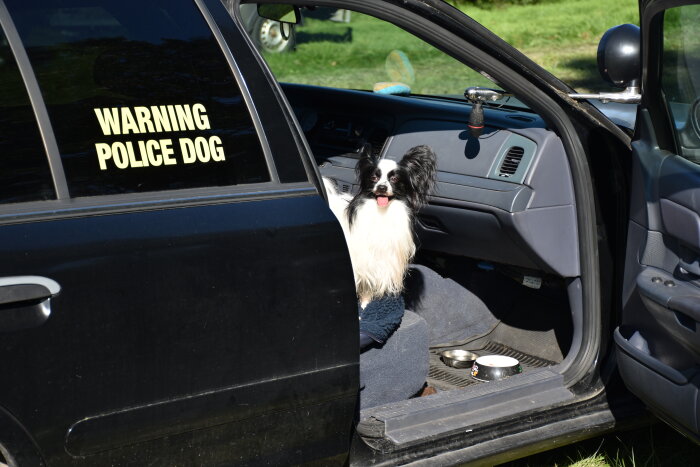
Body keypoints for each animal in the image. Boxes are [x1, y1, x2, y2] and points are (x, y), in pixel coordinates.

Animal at [324, 146, 434, 308]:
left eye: (394, 179)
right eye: (374, 178)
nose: (382, 187)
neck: (381, 213)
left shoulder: (379, 261)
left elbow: (368, 287)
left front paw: (364, 304)